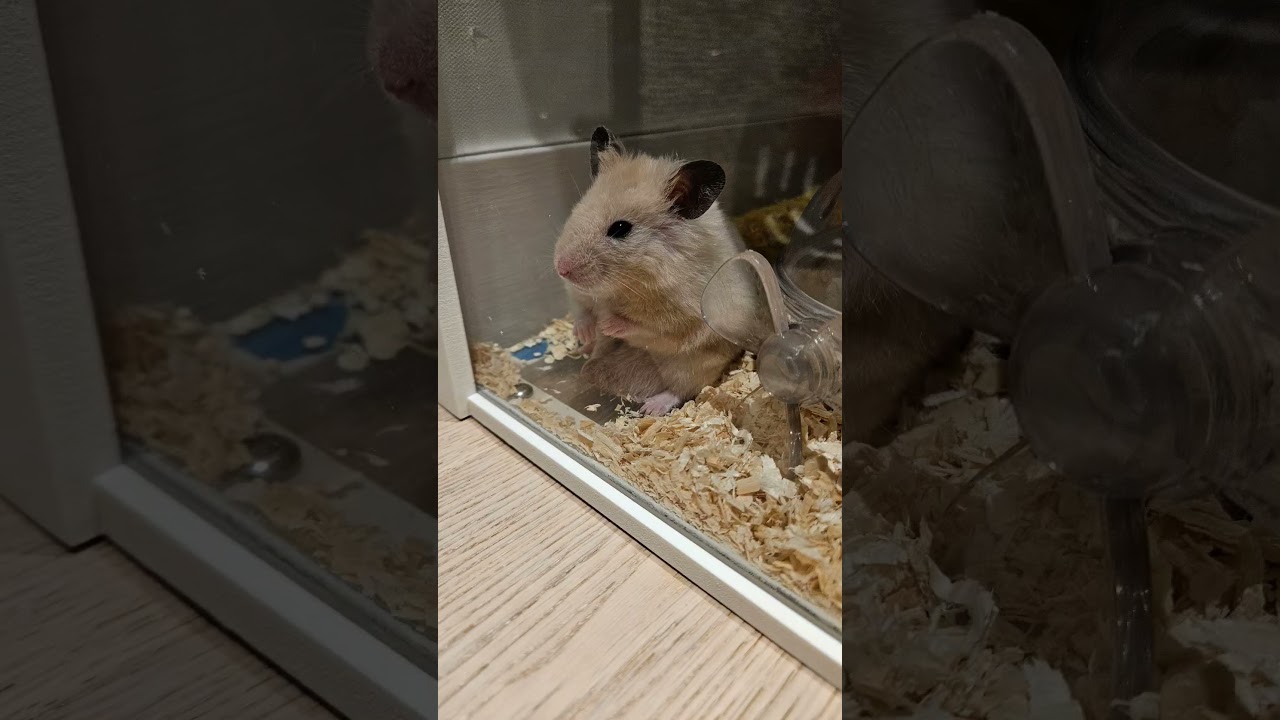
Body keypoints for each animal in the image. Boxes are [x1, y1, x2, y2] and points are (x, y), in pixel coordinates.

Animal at [553, 127, 745, 416]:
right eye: (578, 209)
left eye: (621, 228)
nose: (561, 269)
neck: (621, 285)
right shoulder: (580, 294)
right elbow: (583, 311)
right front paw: (585, 331)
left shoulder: (678, 318)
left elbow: (642, 326)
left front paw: (607, 324)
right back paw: (587, 349)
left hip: (690, 365)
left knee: (681, 389)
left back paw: (650, 408)